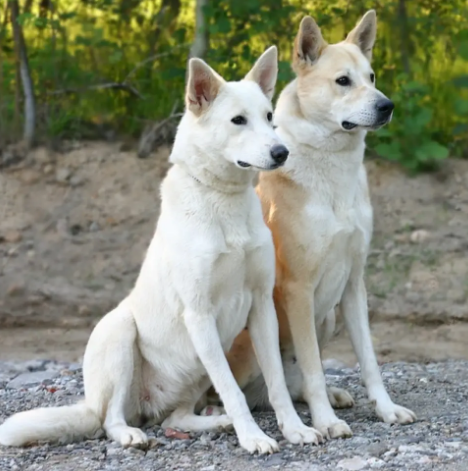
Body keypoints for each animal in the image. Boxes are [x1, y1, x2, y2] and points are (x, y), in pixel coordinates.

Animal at [0, 47, 322, 454]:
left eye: (268, 117)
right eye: (238, 120)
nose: (282, 153)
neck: (224, 201)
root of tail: (144, 407)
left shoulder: (262, 305)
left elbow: (276, 382)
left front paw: (295, 430)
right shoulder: (200, 315)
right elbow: (234, 391)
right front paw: (253, 437)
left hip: (198, 369)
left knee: (176, 418)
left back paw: (216, 422)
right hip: (121, 332)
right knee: (110, 419)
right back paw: (132, 434)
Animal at [218, 10, 416, 438]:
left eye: (372, 76)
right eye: (343, 81)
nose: (387, 106)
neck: (334, 167)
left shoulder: (355, 283)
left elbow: (369, 361)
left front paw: (386, 410)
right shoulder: (298, 290)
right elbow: (312, 367)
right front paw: (325, 421)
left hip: (326, 317)